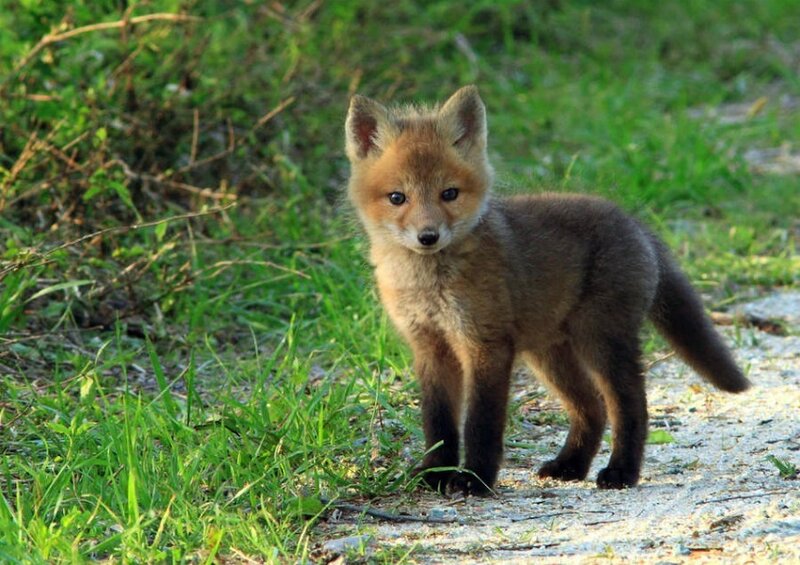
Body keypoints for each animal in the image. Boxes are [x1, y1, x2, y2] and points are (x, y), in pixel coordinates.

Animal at [344, 85, 750, 495]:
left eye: (449, 194)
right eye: (398, 197)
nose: (428, 237)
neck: (428, 284)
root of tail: (633, 222)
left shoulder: (486, 343)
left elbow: (481, 423)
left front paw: (475, 478)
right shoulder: (429, 346)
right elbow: (438, 422)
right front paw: (435, 473)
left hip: (600, 340)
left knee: (630, 404)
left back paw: (621, 471)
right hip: (549, 353)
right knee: (592, 407)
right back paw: (570, 465)